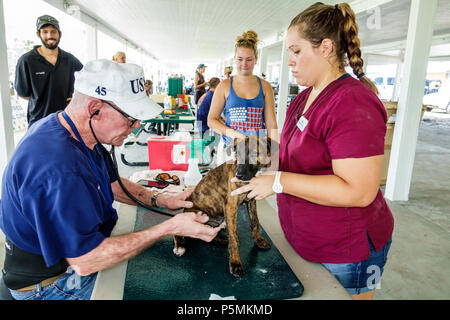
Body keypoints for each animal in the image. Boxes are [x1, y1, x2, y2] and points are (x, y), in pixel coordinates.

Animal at [174, 136, 276, 276]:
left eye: (254, 154)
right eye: (237, 154)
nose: (238, 175)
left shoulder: (251, 200)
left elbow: (255, 222)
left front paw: (258, 240)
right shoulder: (230, 206)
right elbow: (233, 239)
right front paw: (235, 263)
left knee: (209, 236)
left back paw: (222, 239)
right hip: (196, 214)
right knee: (179, 230)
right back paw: (180, 246)